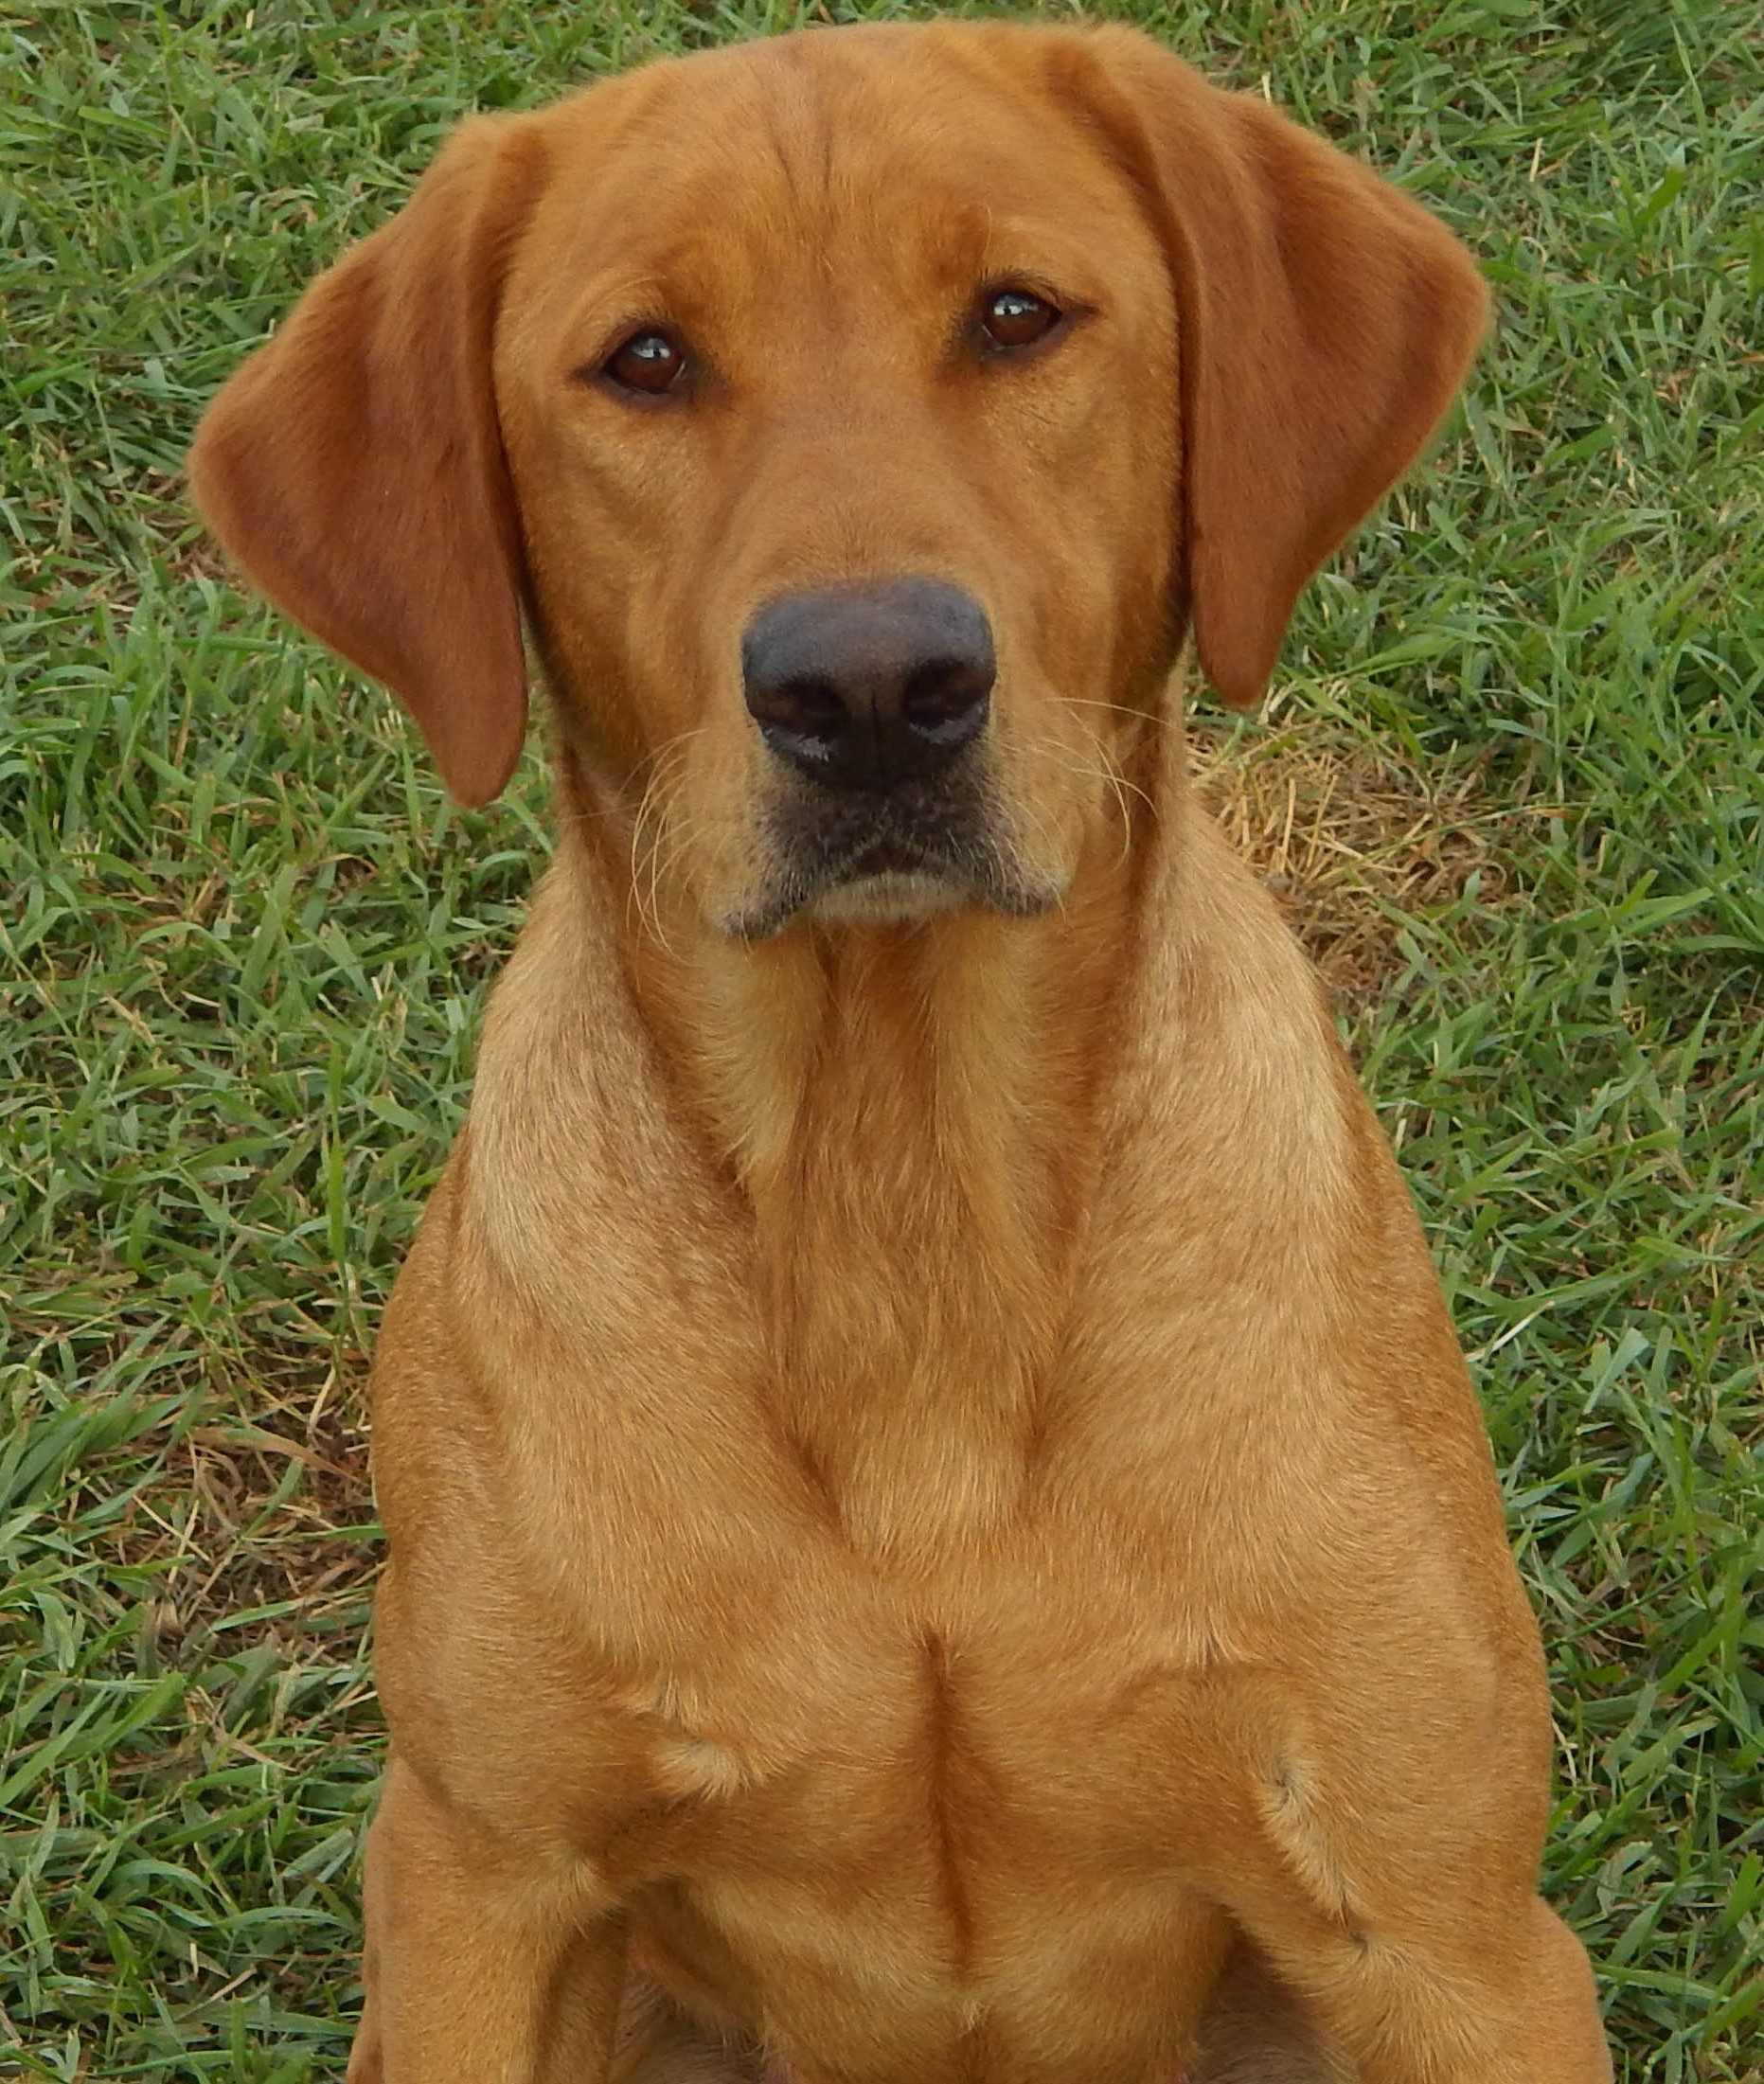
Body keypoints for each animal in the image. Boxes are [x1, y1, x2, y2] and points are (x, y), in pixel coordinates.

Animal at [189, 20, 1617, 2084]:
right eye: (643, 360)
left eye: (1016, 315)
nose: (870, 688)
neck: (899, 1195)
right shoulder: (479, 1896)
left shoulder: (1448, 1943)